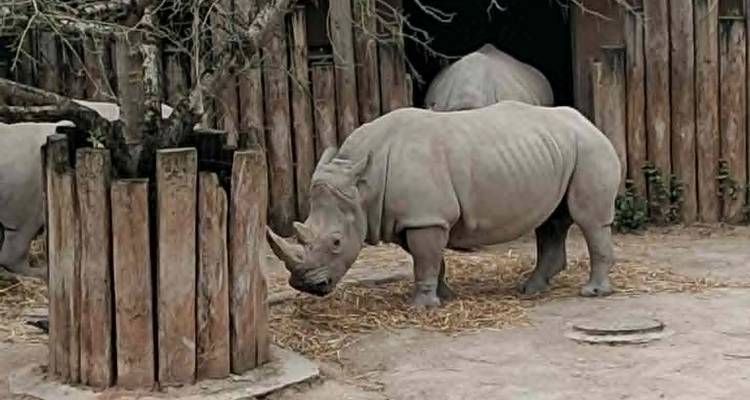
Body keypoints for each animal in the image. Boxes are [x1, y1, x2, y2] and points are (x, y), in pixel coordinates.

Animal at [266, 101, 621, 308]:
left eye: (337, 242)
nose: (305, 286)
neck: (363, 186)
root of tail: (591, 123)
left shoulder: (426, 217)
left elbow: (425, 260)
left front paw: (421, 308)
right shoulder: (412, 218)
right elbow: (429, 261)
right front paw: (445, 297)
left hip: (591, 149)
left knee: (589, 220)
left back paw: (592, 293)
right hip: (558, 151)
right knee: (551, 220)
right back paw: (531, 290)